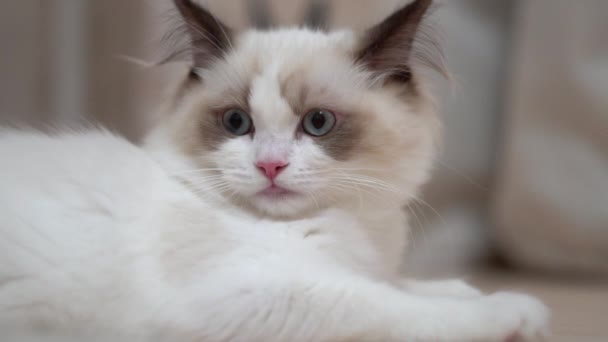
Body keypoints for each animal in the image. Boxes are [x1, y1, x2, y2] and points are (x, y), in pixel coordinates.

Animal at [0, 0, 552, 340]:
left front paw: (466, 288)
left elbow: (403, 284)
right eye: (236, 122)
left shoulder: (351, 267)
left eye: (318, 123)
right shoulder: (273, 294)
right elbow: (399, 307)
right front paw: (515, 310)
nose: (270, 164)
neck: (353, 229)